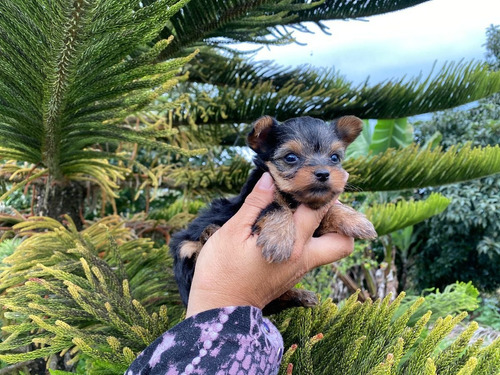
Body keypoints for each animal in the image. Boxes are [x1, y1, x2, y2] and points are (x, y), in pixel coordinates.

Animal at [170, 114, 376, 314]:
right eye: (291, 157)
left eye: (334, 158)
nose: (324, 173)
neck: (294, 199)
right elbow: (276, 207)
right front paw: (278, 238)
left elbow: (328, 210)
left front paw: (354, 219)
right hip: (185, 249)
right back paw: (209, 232)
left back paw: (300, 295)